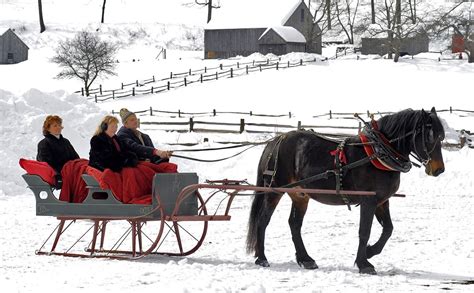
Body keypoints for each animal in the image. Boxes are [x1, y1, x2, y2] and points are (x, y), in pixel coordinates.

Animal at [246, 107, 446, 274]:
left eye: (441, 136)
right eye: (429, 136)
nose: (438, 169)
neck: (378, 153)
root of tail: (275, 141)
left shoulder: (381, 201)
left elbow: (388, 229)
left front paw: (370, 252)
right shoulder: (369, 201)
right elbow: (364, 231)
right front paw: (364, 263)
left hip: (300, 195)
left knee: (294, 224)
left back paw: (305, 259)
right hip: (274, 190)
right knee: (263, 220)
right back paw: (262, 258)